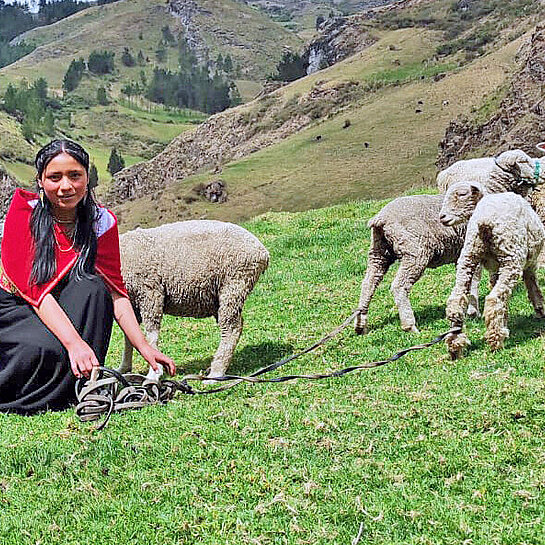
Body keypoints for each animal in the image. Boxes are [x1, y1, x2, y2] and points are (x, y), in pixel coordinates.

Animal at [120, 219, 270, 380]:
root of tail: (262, 252)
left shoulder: (150, 291)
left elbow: (151, 335)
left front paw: (154, 372)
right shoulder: (132, 302)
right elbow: (129, 335)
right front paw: (124, 368)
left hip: (234, 283)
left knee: (231, 328)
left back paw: (216, 372)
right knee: (236, 324)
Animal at [350, 191, 478, 336]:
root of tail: (381, 218)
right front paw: (473, 312)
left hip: (378, 252)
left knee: (369, 283)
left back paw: (360, 325)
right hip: (415, 252)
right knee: (399, 286)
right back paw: (409, 325)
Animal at [438, 181, 544, 360]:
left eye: (461, 194)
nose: (442, 217)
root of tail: (484, 221)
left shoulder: (496, 268)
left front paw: (506, 318)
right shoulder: (528, 263)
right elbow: (532, 285)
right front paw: (540, 310)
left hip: (468, 256)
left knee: (456, 301)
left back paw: (455, 346)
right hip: (511, 257)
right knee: (494, 299)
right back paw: (495, 341)